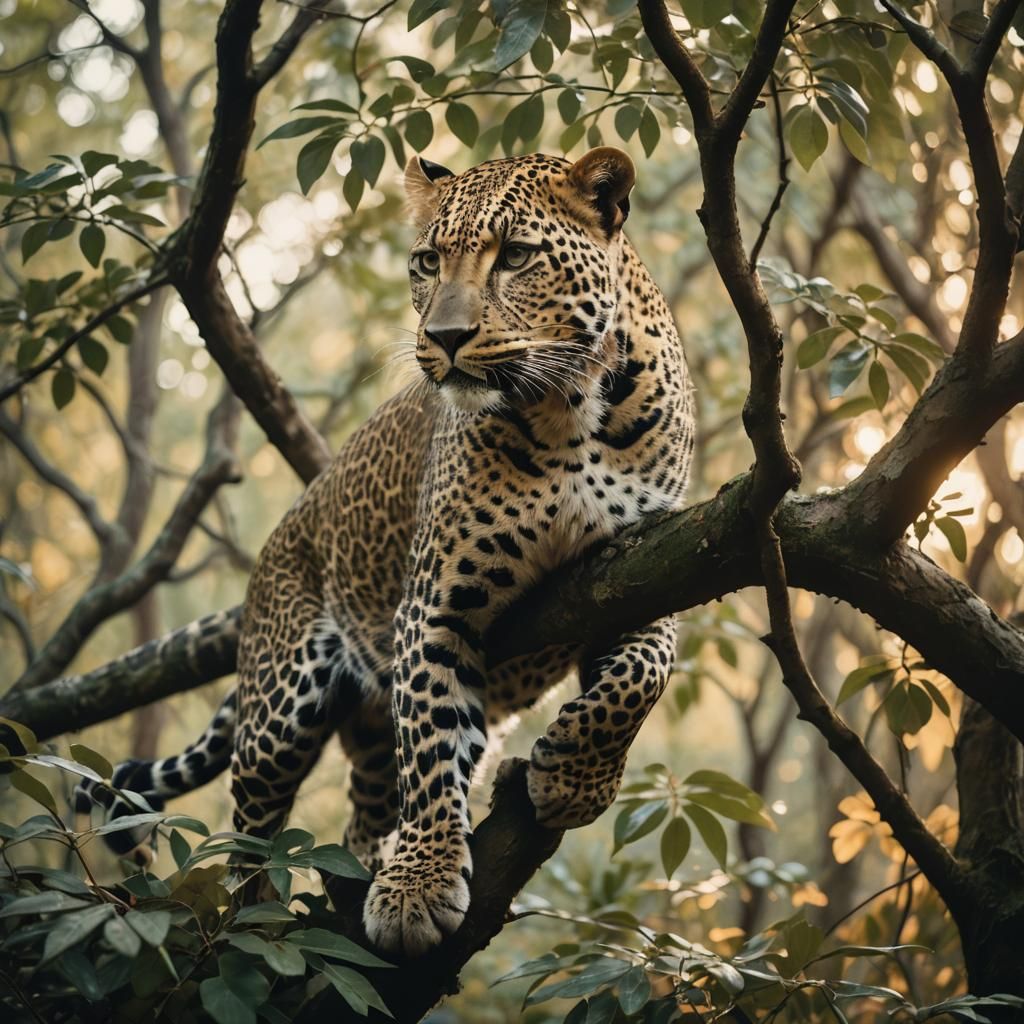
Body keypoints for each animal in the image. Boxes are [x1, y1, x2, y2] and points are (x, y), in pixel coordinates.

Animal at [74, 147, 695, 957]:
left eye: (516, 257)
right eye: (428, 261)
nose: (447, 336)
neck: (571, 408)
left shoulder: (650, 570)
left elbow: (638, 681)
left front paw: (571, 780)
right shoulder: (432, 606)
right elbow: (429, 753)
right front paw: (418, 888)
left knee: (362, 812)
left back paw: (360, 871)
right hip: (282, 701)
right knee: (249, 832)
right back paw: (251, 921)